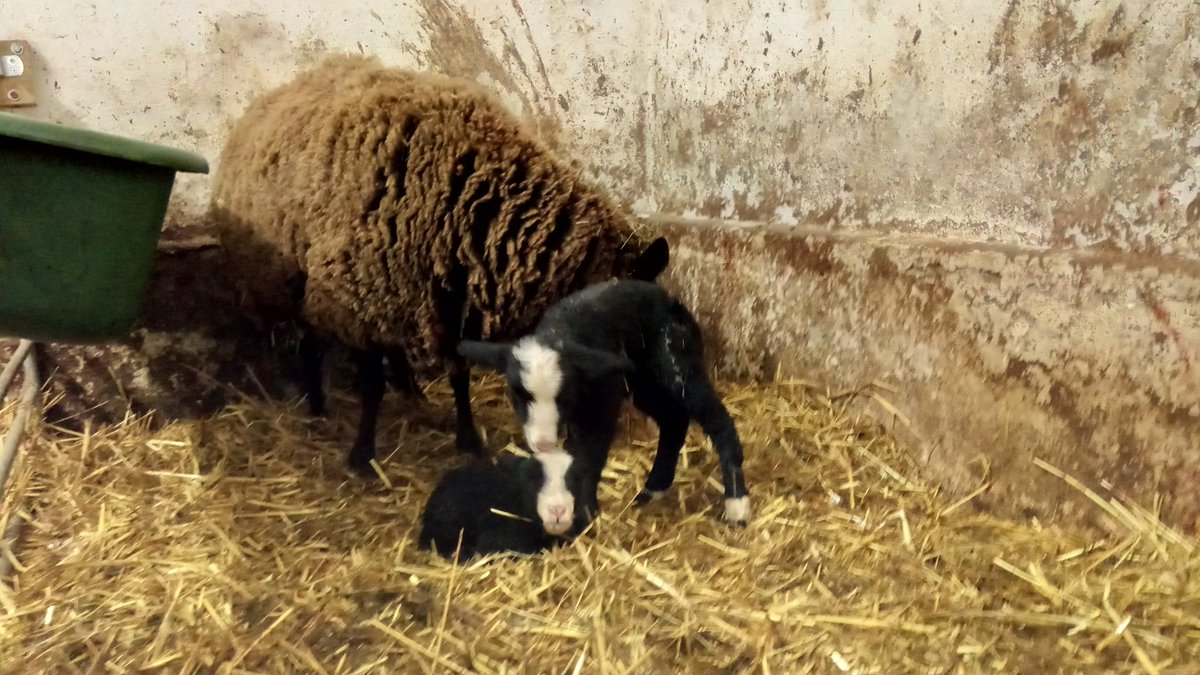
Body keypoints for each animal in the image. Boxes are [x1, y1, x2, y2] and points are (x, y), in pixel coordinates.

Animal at [210, 54, 670, 475]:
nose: (642, 428)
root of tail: (275, 94)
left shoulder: (453, 301)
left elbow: (459, 376)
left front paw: (468, 439)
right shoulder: (357, 302)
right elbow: (371, 386)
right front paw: (363, 457)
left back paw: (410, 390)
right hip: (298, 282)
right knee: (310, 341)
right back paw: (318, 405)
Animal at [457, 279, 751, 533]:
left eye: (564, 396)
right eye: (517, 397)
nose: (543, 444)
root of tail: (671, 300)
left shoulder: (601, 408)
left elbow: (589, 458)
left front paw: (585, 515)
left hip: (679, 365)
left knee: (717, 420)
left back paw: (737, 504)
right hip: (644, 383)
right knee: (673, 420)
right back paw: (653, 489)